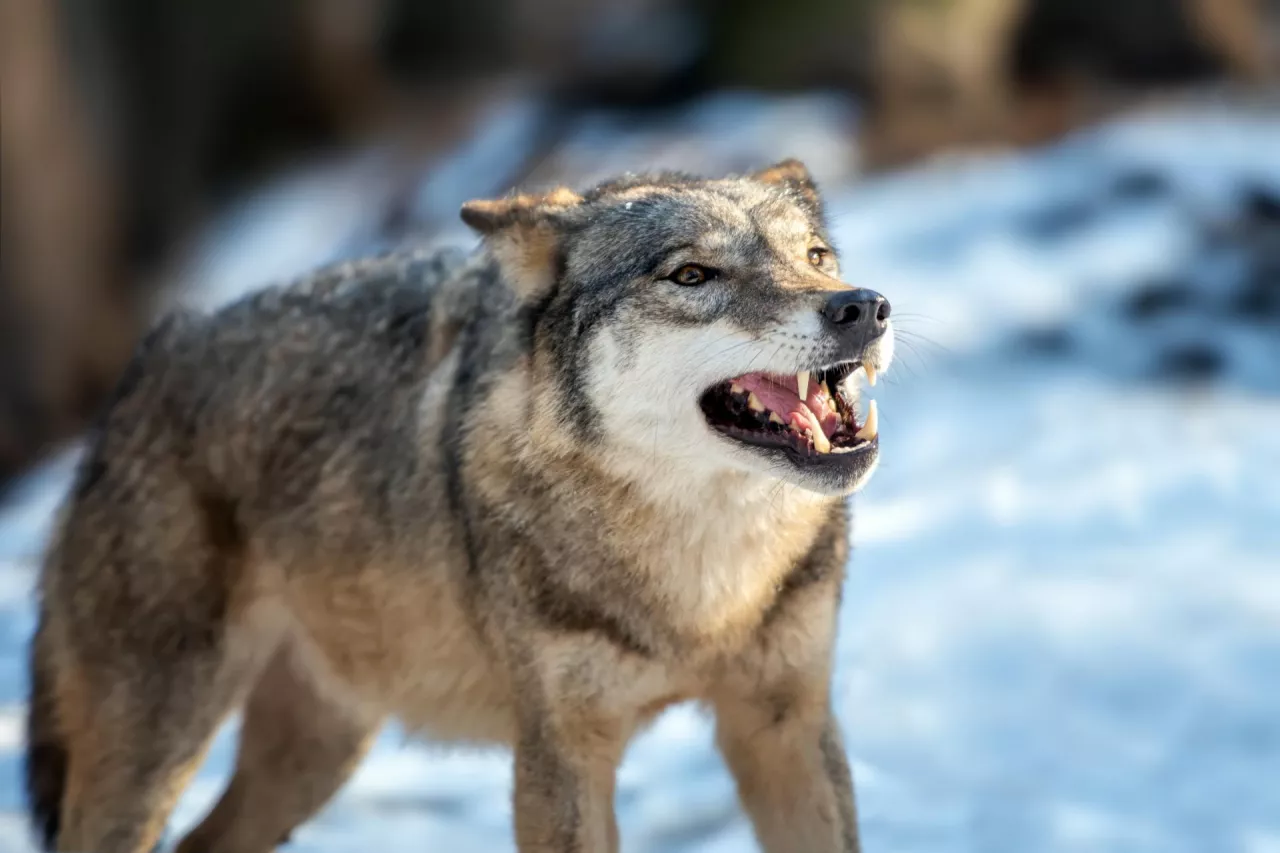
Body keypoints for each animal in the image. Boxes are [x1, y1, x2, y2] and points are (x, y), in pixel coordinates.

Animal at [24, 156, 896, 845]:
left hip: (317, 751)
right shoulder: (558, 756)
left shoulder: (787, 727)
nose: (862, 304)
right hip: (156, 750)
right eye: (691, 275)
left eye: (816, 256)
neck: (704, 591)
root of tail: (150, 357)